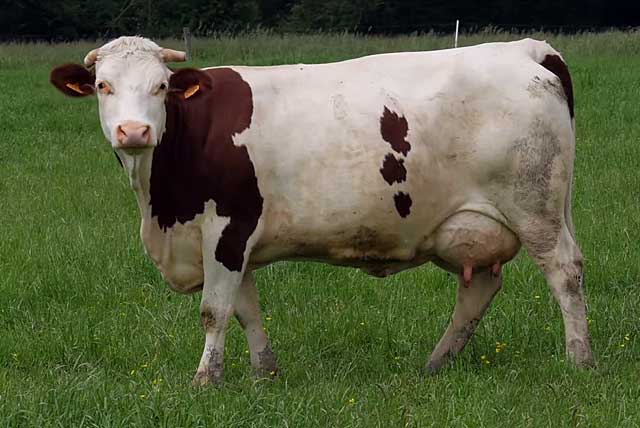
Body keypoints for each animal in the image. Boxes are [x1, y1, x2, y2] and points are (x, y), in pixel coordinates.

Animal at [50, 36, 593, 385]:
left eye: (160, 87)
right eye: (103, 86)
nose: (134, 131)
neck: (161, 206)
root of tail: (523, 48)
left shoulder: (227, 226)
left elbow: (214, 309)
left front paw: (205, 379)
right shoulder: (234, 239)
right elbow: (246, 308)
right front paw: (264, 373)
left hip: (536, 208)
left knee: (565, 272)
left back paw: (579, 360)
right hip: (469, 225)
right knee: (478, 288)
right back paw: (436, 364)